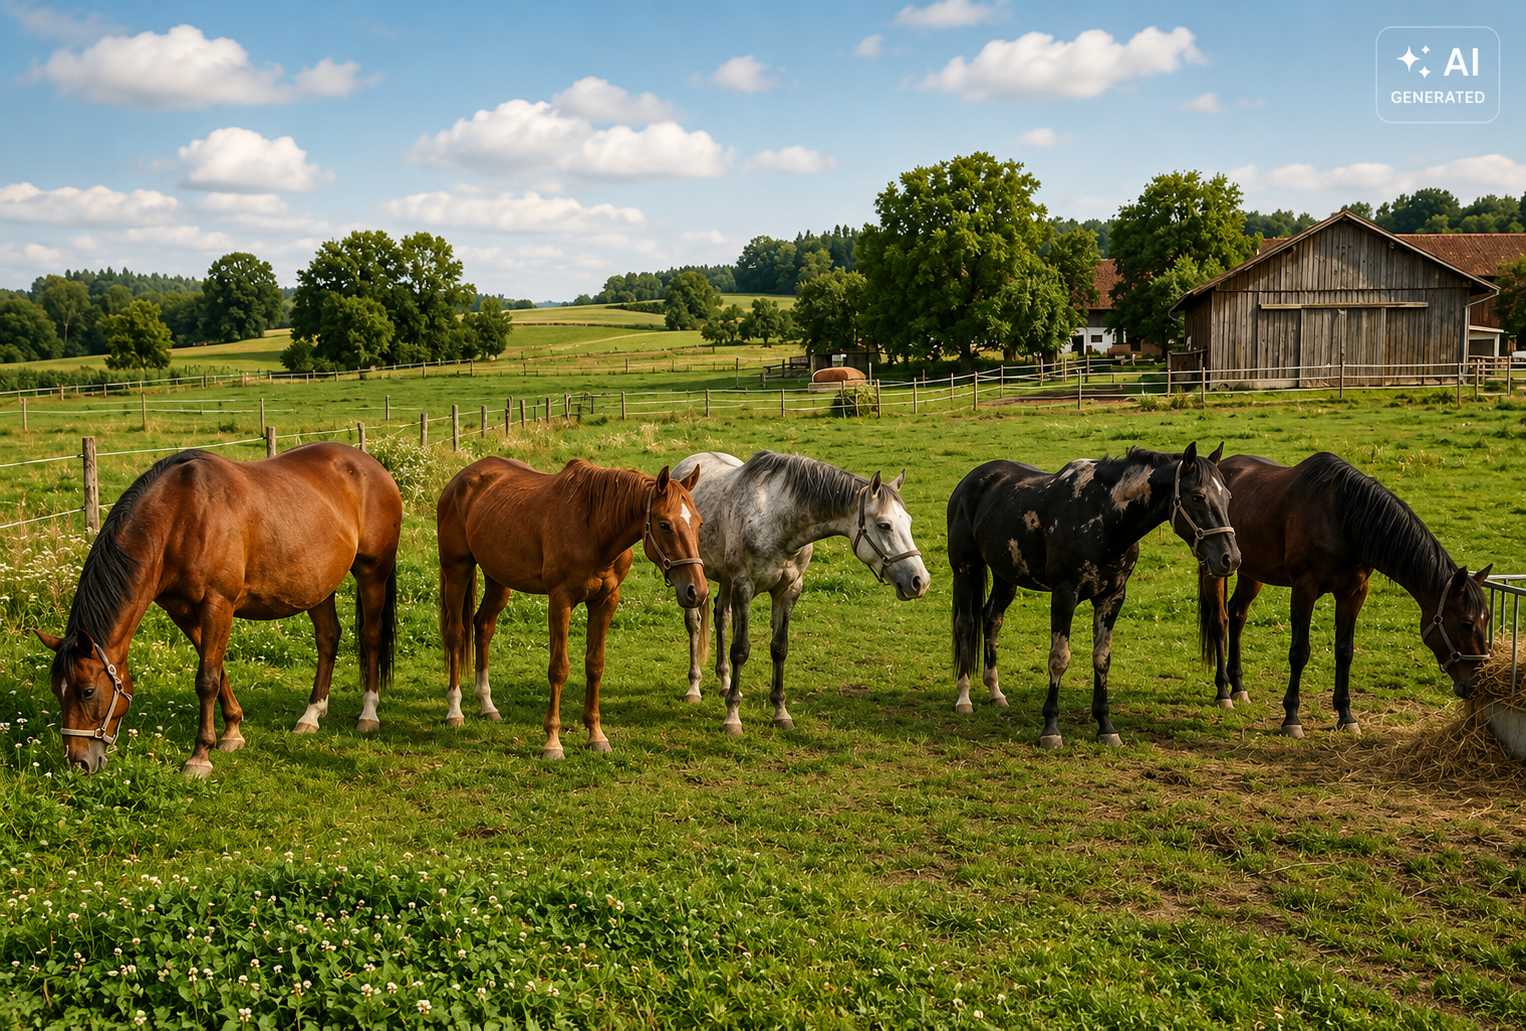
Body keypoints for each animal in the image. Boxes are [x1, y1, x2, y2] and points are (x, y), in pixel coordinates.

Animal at [35, 444, 402, 777]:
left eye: (87, 691)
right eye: (56, 689)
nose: (79, 761)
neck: (179, 517)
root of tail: (371, 466)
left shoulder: (218, 604)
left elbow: (207, 679)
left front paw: (200, 756)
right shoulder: (182, 611)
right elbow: (216, 668)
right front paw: (232, 732)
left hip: (373, 573)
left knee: (370, 636)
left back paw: (368, 714)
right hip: (318, 585)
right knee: (328, 638)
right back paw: (311, 715)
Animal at [436, 458, 707, 759]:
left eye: (699, 523)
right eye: (664, 524)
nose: (697, 590)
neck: (593, 527)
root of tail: (461, 479)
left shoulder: (605, 601)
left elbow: (595, 665)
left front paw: (596, 736)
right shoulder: (560, 600)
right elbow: (558, 668)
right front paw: (552, 742)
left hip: (498, 580)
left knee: (483, 627)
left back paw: (487, 706)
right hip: (457, 570)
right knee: (456, 635)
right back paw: (454, 711)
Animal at [671, 451, 930, 735]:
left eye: (908, 521)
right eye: (884, 525)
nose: (920, 581)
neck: (775, 519)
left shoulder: (789, 590)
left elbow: (779, 648)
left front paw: (780, 712)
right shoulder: (744, 587)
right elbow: (740, 650)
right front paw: (732, 717)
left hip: (725, 580)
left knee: (721, 617)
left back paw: (725, 682)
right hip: (693, 578)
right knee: (694, 624)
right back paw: (694, 688)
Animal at [947, 444, 1240, 748]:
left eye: (1228, 496)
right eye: (1198, 496)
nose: (1230, 558)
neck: (1102, 516)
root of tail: (972, 479)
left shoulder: (1112, 598)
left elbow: (1102, 659)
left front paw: (1106, 726)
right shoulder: (1064, 595)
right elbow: (1059, 658)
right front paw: (1051, 729)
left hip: (1006, 577)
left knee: (992, 619)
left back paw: (996, 693)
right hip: (965, 569)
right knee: (965, 624)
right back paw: (964, 697)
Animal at [1196, 452, 1492, 736]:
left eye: (1486, 620)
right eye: (1466, 623)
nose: (1477, 683)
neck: (1343, 517)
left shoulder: (1354, 593)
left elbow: (1345, 651)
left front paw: (1346, 715)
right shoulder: (1305, 588)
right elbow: (1299, 651)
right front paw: (1291, 717)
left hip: (1251, 573)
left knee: (1237, 615)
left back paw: (1238, 686)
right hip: (1216, 569)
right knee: (1220, 620)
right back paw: (1224, 692)